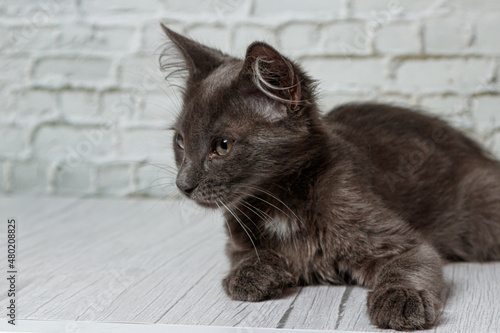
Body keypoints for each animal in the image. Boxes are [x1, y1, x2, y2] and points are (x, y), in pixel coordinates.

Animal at [159, 24, 500, 330]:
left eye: (223, 146)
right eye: (180, 141)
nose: (183, 184)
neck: (281, 201)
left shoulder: (400, 239)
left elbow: (410, 263)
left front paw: (402, 299)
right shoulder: (236, 239)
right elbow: (245, 256)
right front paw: (251, 274)